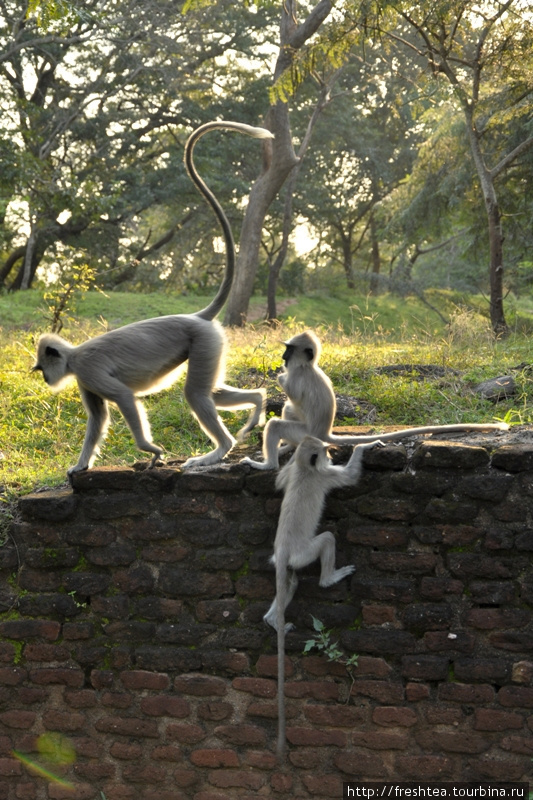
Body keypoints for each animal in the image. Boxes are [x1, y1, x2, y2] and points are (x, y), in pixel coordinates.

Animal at [32, 120, 272, 476]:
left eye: (42, 367)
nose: (46, 377)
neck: (73, 356)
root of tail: (197, 316)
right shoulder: (85, 382)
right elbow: (98, 419)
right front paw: (81, 465)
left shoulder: (88, 370)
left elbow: (124, 398)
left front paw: (151, 450)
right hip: (211, 346)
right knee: (212, 391)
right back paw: (257, 404)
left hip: (204, 342)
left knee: (196, 392)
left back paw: (218, 450)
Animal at [241, 328, 508, 472]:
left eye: (289, 349)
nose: (283, 357)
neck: (308, 366)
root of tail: (324, 433)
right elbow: (292, 403)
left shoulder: (298, 376)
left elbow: (292, 392)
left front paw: (279, 377)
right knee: (289, 409)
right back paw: (286, 448)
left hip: (305, 433)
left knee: (279, 421)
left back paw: (269, 463)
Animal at [262, 434, 382, 760]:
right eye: (325, 454)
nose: (330, 453)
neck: (305, 470)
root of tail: (285, 550)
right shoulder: (325, 476)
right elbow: (349, 477)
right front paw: (366, 445)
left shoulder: (293, 474)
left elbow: (279, 480)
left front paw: (288, 450)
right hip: (305, 553)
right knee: (326, 539)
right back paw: (330, 579)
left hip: (287, 563)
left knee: (289, 583)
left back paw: (273, 620)